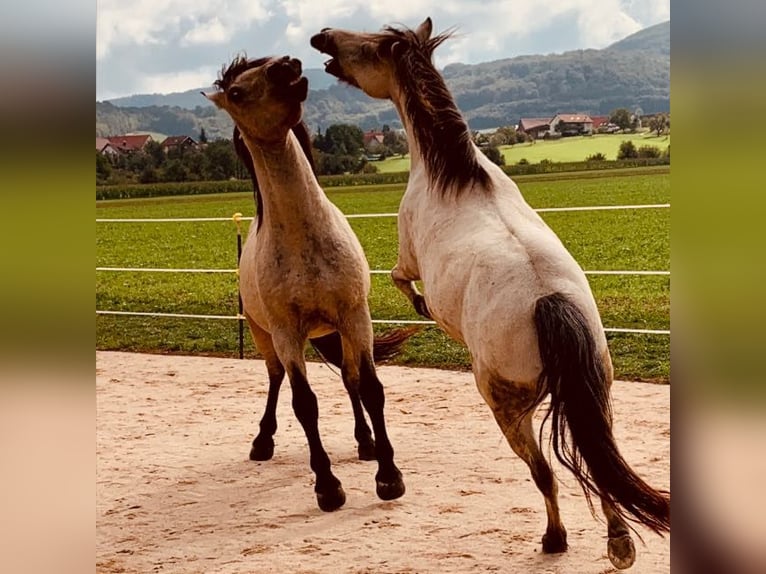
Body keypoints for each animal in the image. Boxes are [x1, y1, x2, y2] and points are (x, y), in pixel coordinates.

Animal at [204, 55, 408, 512]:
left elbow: (371, 389)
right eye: (236, 93)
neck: (304, 240)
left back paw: (365, 442)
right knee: (276, 377)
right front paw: (328, 487)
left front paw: (388, 475)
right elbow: (305, 404)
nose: (287, 66)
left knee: (349, 380)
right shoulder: (287, 333)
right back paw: (262, 442)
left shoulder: (355, 317)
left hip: (337, 330)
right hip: (264, 335)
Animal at [314, 19, 672, 572]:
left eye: (370, 44)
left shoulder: (407, 258)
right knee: (593, 461)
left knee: (545, 471)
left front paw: (420, 307)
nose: (323, 37)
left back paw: (554, 539)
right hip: (595, 395)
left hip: (506, 408)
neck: (455, 178)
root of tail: (549, 303)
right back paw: (619, 544)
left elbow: (399, 279)